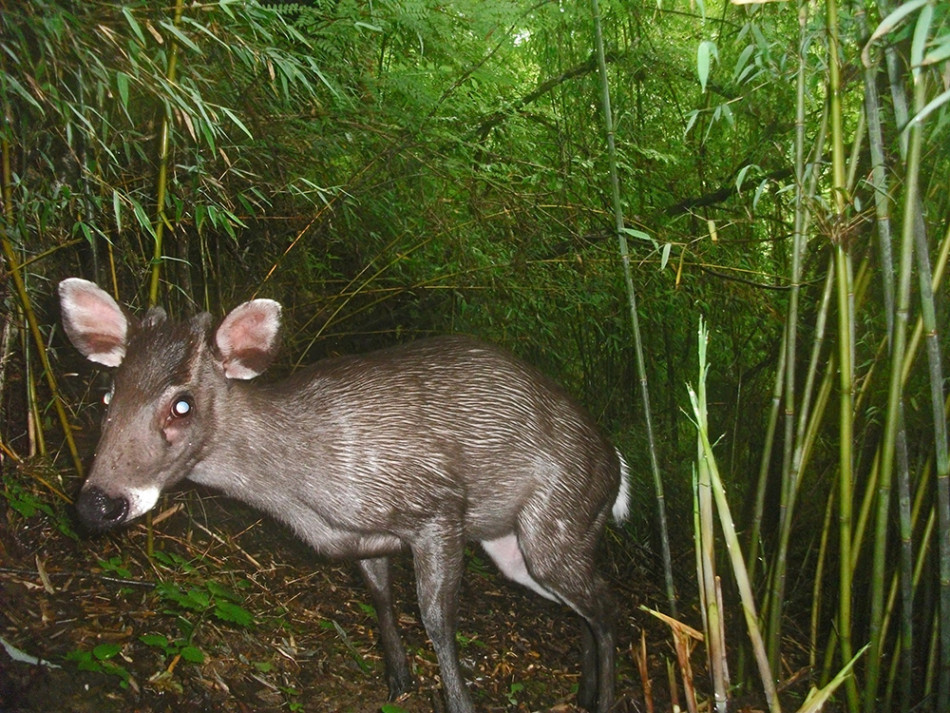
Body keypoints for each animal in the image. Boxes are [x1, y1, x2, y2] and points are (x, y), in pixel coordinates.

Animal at [59, 276, 632, 712]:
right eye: (107, 395)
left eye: (182, 404)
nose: (98, 503)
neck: (309, 493)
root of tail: (619, 469)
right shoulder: (366, 537)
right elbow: (380, 596)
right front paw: (398, 681)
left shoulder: (437, 504)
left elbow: (437, 620)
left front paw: (457, 701)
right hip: (515, 548)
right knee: (583, 607)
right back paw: (584, 693)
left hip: (560, 518)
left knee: (607, 603)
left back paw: (605, 699)